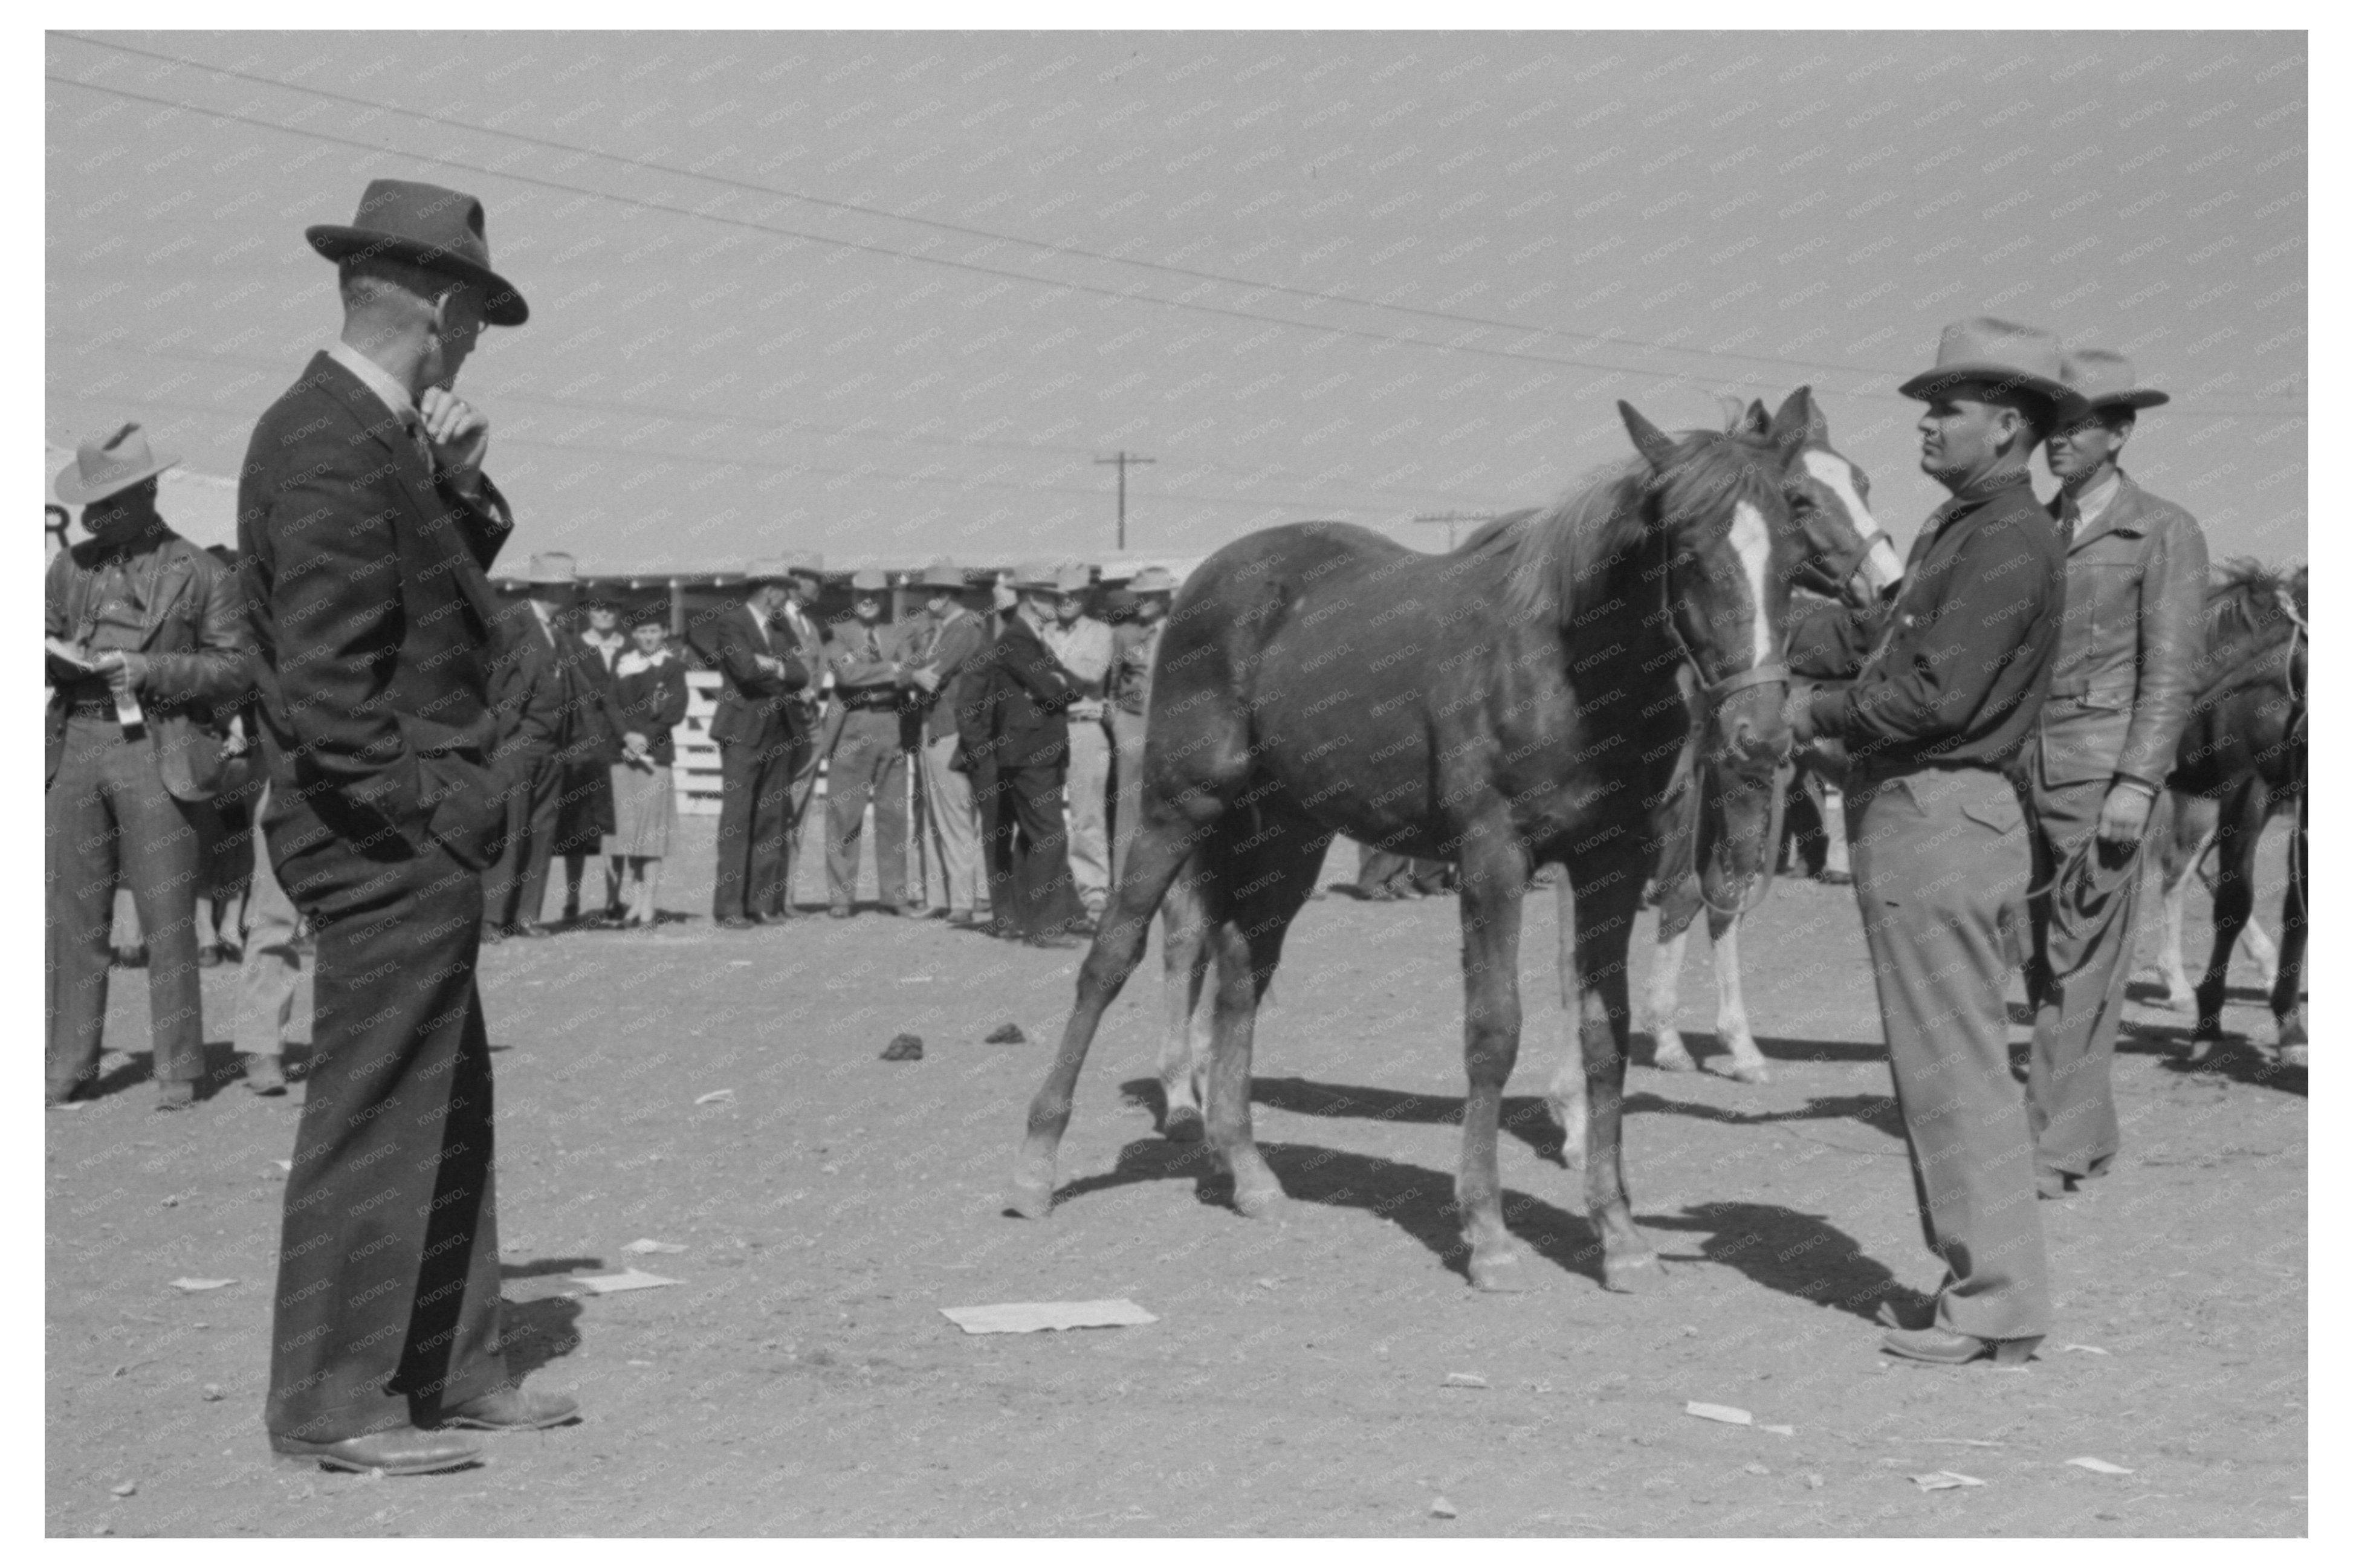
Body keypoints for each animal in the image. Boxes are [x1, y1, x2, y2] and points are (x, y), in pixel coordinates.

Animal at [1012, 389, 1871, 1295]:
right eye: (1689, 545)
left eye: (1788, 537)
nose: (1761, 735)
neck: (1566, 670)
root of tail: (1213, 579)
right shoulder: (1494, 859)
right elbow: (1493, 1031)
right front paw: (1486, 1231)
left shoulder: (1610, 862)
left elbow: (1605, 1036)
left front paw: (1620, 1234)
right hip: (1178, 805)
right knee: (1114, 955)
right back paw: (1037, 1164)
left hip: (1290, 832)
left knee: (1242, 974)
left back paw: (1246, 1168)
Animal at [2157, 561, 2308, 1064]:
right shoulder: (2246, 789)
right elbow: (2233, 903)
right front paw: (2207, 1026)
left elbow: (2296, 906)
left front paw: (2290, 1029)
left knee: (2182, 870)